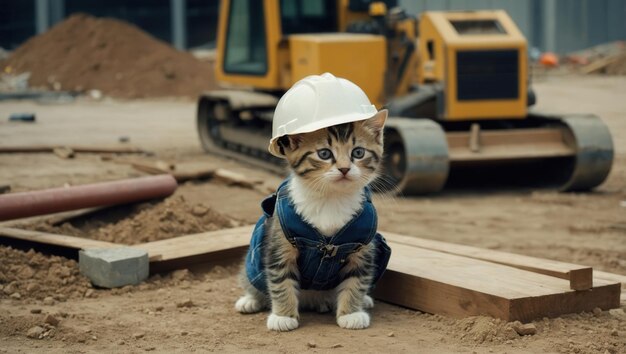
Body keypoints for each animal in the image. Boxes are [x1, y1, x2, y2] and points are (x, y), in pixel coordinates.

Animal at [234, 109, 390, 330]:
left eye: (358, 152)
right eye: (324, 154)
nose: (344, 169)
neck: (331, 199)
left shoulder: (362, 245)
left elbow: (357, 278)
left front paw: (351, 313)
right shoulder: (280, 242)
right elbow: (281, 277)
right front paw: (283, 316)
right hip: (252, 266)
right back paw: (249, 300)